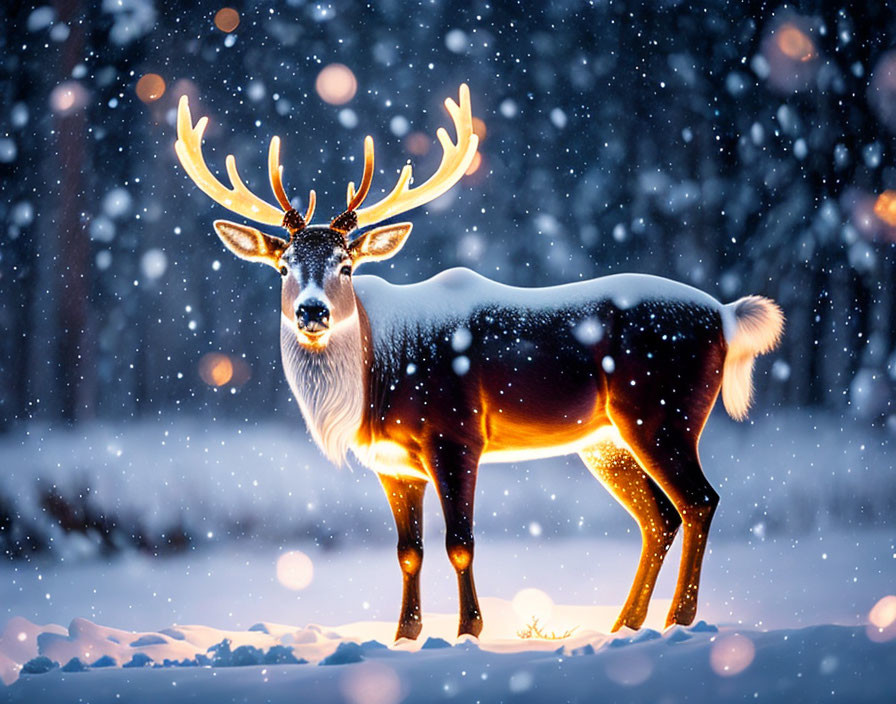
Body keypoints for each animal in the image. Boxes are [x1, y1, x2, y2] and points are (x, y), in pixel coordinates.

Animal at [175, 85, 784, 640]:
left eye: (347, 265)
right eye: (283, 267)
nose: (312, 312)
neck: (378, 379)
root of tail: (726, 316)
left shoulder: (456, 434)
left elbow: (459, 543)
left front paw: (469, 631)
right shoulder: (393, 463)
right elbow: (408, 551)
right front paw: (404, 636)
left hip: (663, 412)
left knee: (699, 501)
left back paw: (679, 621)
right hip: (605, 440)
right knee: (658, 516)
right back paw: (623, 625)